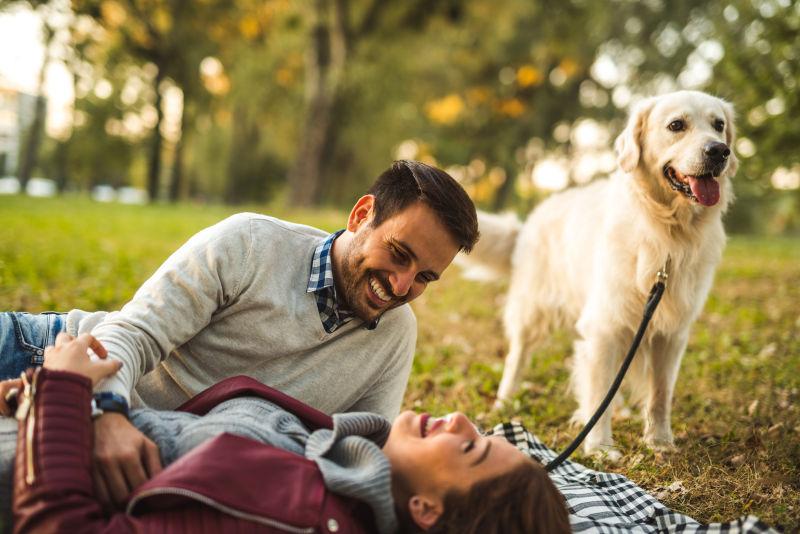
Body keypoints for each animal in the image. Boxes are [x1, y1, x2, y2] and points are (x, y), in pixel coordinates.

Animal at [460, 90, 740, 458]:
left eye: (719, 125)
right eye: (676, 125)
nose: (719, 151)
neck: (666, 233)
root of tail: (532, 217)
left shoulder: (671, 333)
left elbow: (660, 393)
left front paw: (660, 441)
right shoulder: (605, 323)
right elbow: (597, 393)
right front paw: (600, 447)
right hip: (532, 309)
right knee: (517, 356)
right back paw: (504, 401)